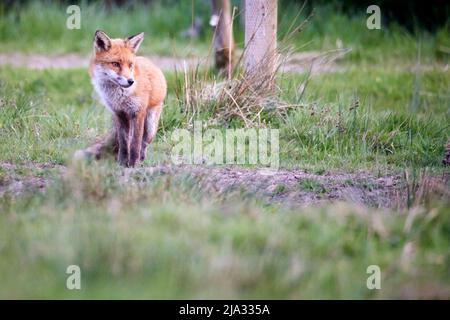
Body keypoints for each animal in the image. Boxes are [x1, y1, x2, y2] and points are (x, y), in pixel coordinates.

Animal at [75, 29, 167, 168]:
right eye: (115, 64)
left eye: (130, 65)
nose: (131, 81)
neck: (120, 97)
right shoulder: (119, 113)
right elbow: (124, 143)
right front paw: (122, 163)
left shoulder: (138, 112)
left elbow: (135, 143)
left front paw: (133, 164)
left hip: (150, 126)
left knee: (144, 143)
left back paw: (141, 159)